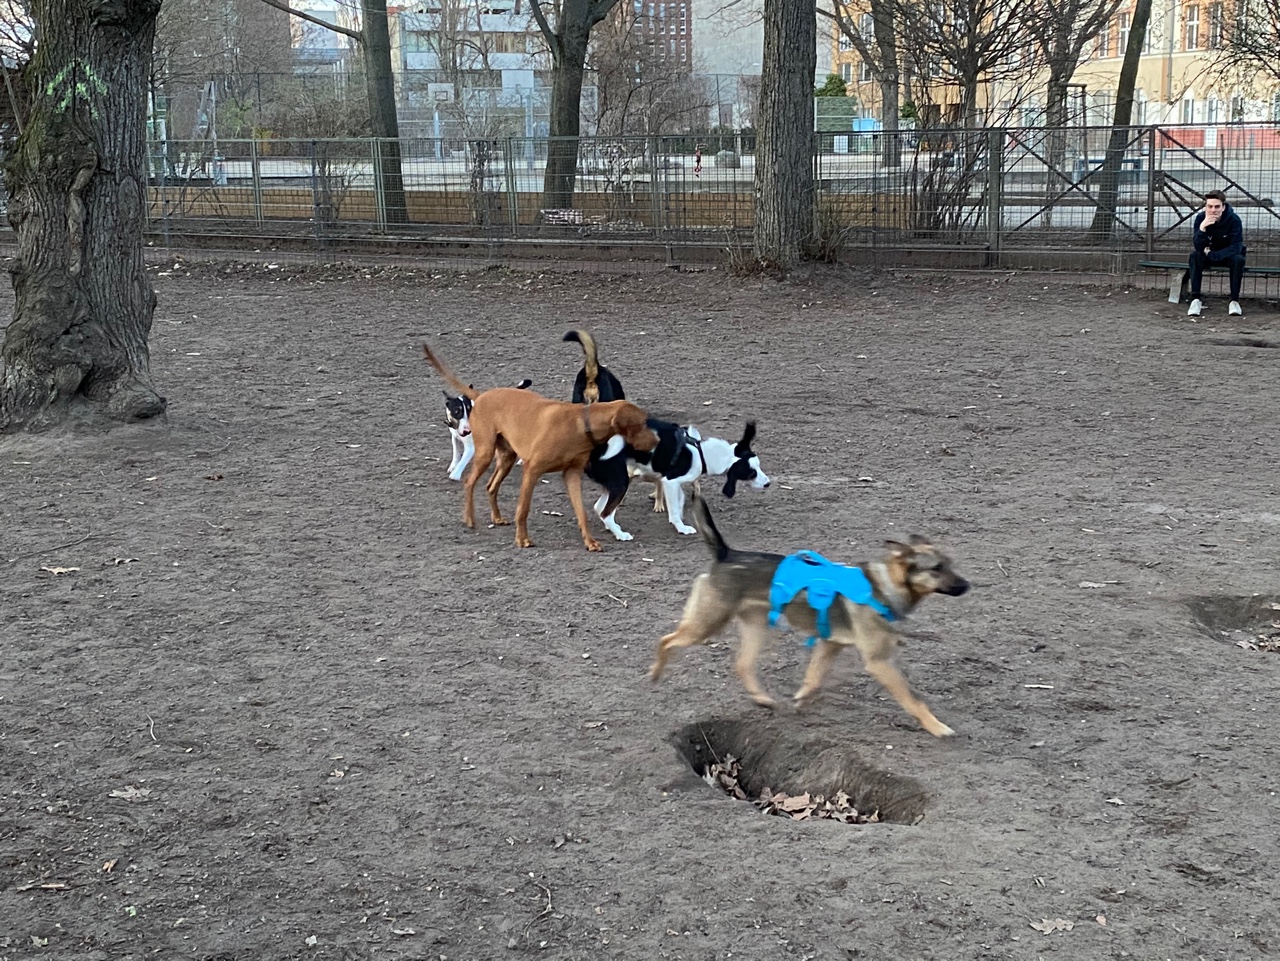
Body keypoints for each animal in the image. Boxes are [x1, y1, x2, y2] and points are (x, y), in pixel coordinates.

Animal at [424, 350, 660, 552]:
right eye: (641, 424)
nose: (657, 440)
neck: (580, 423)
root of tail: (482, 395)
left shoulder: (571, 475)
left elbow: (581, 512)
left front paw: (590, 542)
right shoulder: (532, 471)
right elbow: (523, 509)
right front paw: (522, 539)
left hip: (507, 458)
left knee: (491, 486)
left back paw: (497, 518)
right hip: (485, 453)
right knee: (469, 482)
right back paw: (470, 519)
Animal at [588, 419, 768, 542]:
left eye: (759, 465)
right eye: (751, 473)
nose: (768, 483)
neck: (701, 453)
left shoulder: (675, 484)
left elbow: (679, 502)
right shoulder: (670, 482)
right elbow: (674, 509)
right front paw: (681, 527)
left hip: (614, 484)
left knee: (598, 507)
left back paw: (612, 528)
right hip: (621, 483)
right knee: (605, 513)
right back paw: (620, 534)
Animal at [650, 491, 967, 742]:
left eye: (951, 564)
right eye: (936, 568)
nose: (967, 585)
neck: (883, 585)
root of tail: (727, 554)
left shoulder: (830, 644)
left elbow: (813, 678)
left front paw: (801, 700)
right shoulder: (879, 662)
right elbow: (913, 700)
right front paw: (937, 727)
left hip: (756, 628)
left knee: (742, 664)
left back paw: (762, 699)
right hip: (707, 624)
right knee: (666, 640)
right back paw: (655, 673)